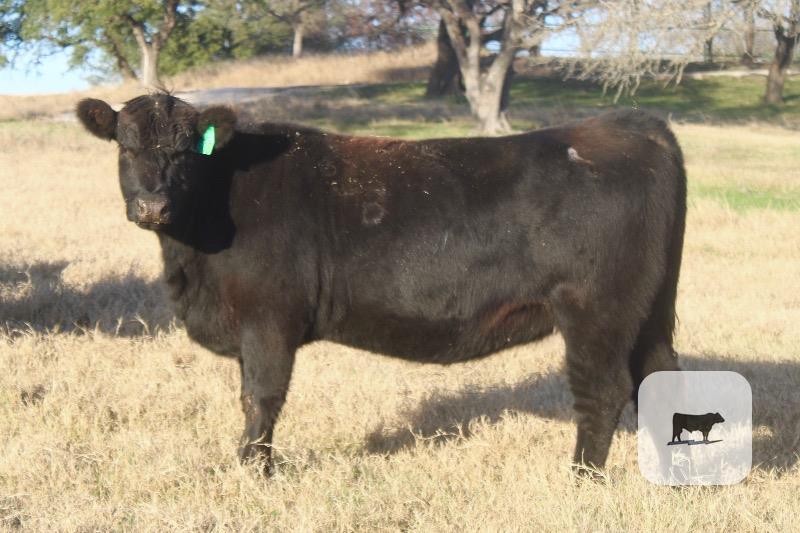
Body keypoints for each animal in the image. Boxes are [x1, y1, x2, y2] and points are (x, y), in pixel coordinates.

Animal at [76, 93, 687, 476]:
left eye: (185, 150)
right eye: (125, 146)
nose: (153, 206)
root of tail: (629, 125)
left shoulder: (269, 317)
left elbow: (261, 397)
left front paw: (254, 471)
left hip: (596, 310)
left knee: (603, 391)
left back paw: (582, 478)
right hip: (650, 310)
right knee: (659, 377)